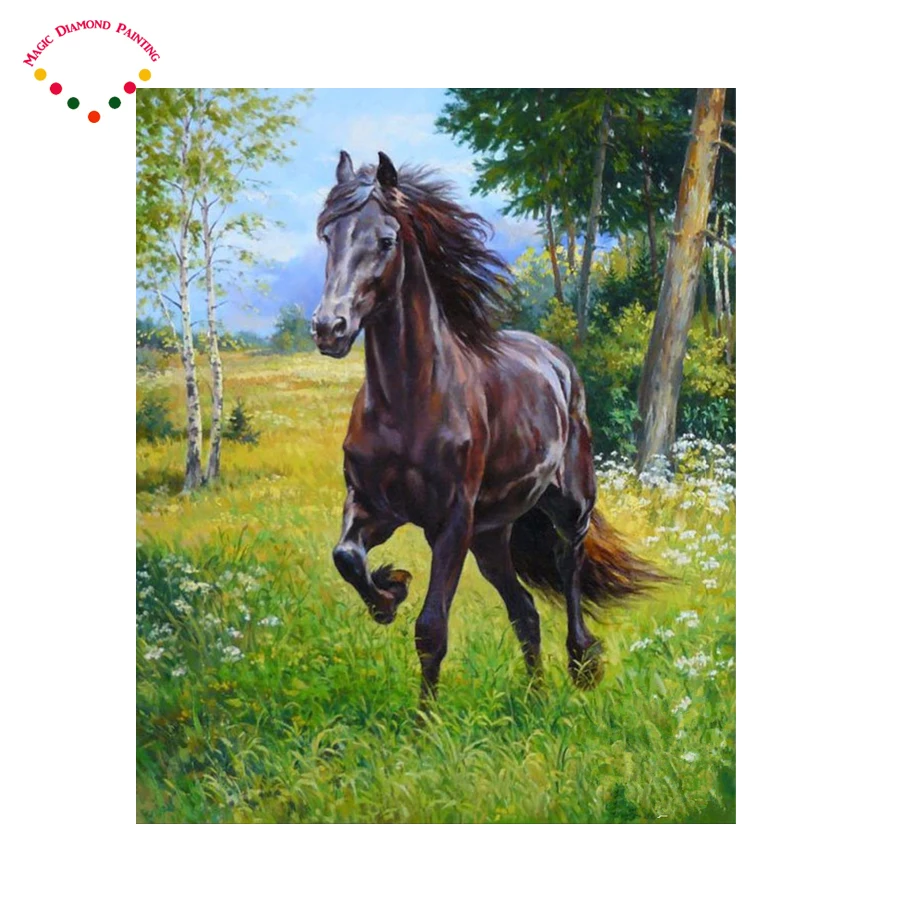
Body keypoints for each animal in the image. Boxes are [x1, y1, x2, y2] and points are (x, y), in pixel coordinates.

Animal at [311, 151, 658, 701]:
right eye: (328, 234)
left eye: (385, 241)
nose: (329, 328)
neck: (408, 403)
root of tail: (557, 362)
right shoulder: (373, 506)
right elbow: (346, 555)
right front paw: (390, 591)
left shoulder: (451, 522)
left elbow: (431, 629)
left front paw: (424, 720)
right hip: (492, 537)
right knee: (525, 611)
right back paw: (536, 699)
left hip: (568, 507)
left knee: (569, 568)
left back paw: (582, 664)